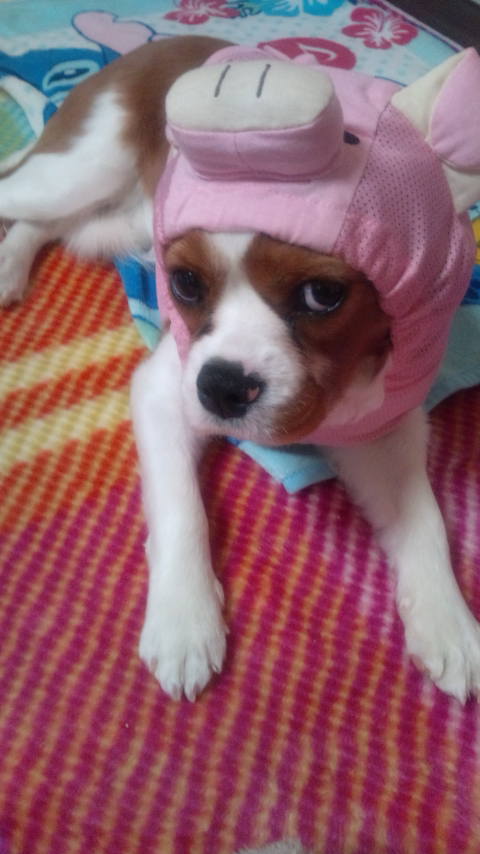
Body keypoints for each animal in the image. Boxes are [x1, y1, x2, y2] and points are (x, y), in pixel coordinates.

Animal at [2, 36, 480, 703]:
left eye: (323, 296)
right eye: (184, 284)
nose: (224, 388)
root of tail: (146, 49)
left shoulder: (386, 428)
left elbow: (424, 517)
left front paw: (449, 621)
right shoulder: (165, 390)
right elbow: (182, 509)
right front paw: (184, 621)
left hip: (111, 223)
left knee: (49, 226)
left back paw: (10, 266)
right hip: (80, 171)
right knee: (21, 196)